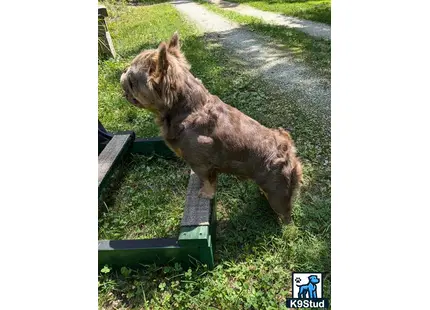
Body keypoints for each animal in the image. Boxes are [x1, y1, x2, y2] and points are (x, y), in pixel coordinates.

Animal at [120, 32, 302, 223]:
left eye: (131, 82)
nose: (123, 72)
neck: (189, 109)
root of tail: (289, 153)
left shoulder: (201, 164)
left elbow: (208, 181)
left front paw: (205, 194)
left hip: (278, 193)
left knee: (285, 212)